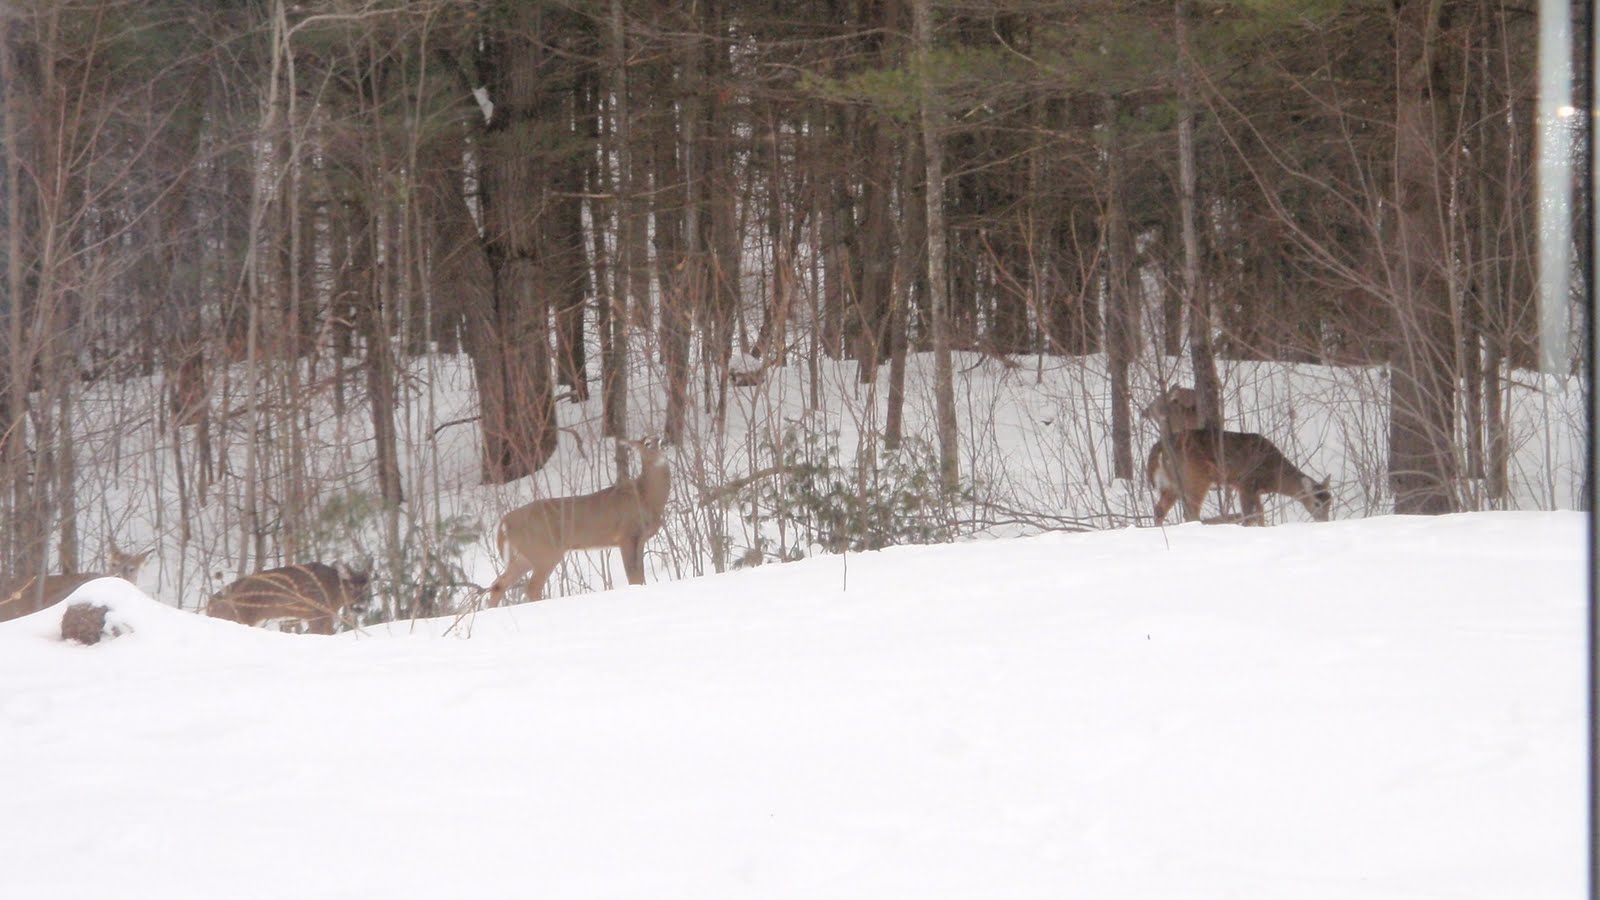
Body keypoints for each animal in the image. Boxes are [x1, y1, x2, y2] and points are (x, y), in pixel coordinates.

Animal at [205, 562, 370, 635]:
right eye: (351, 587)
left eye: (367, 587)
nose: (360, 607)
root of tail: (210, 604)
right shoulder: (316, 612)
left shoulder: (326, 615)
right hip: (239, 617)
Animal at [485, 436, 671, 607]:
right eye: (647, 442)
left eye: (659, 435)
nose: (665, 442)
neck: (645, 497)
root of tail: (504, 523)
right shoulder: (626, 535)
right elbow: (633, 576)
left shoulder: (641, 538)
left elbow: (640, 574)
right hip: (544, 550)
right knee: (532, 586)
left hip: (524, 555)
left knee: (498, 584)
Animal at [1147, 427, 1333, 526]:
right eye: (1317, 503)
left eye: (1331, 502)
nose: (1324, 520)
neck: (1273, 474)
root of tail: (1160, 447)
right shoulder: (1246, 483)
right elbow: (1249, 514)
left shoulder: (1255, 490)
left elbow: (1259, 513)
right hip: (1194, 477)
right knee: (1191, 511)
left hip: (1171, 482)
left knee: (1159, 508)